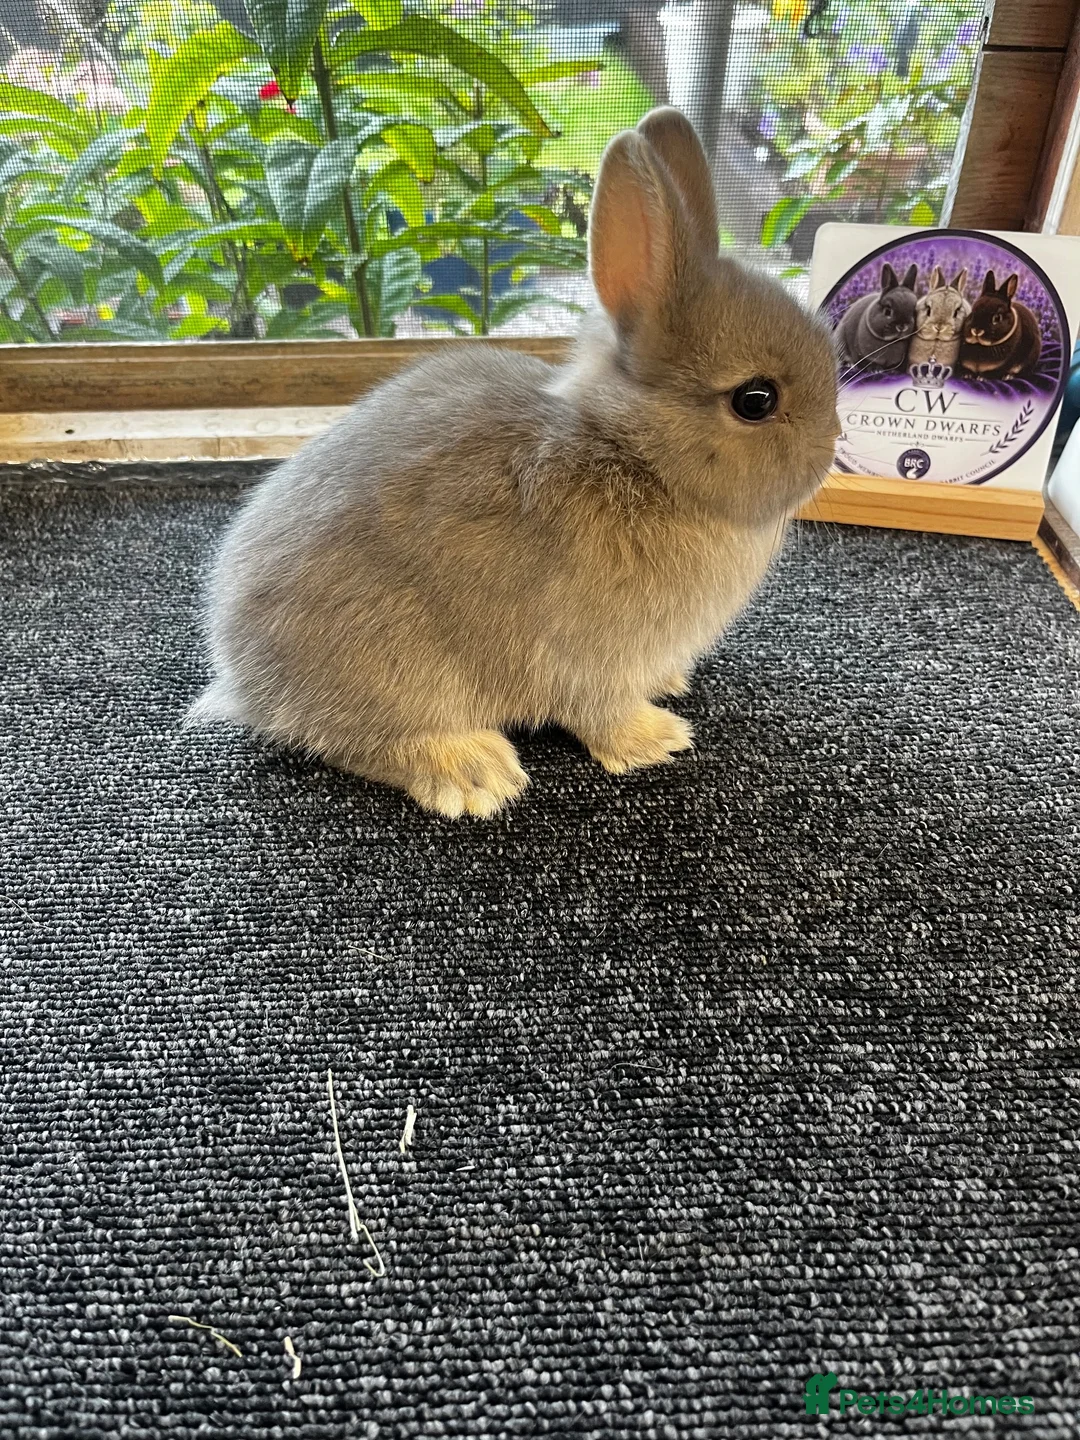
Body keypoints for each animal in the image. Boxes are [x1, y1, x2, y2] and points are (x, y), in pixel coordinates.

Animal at [189, 108, 840, 819]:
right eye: (756, 400)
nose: (832, 448)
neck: (632, 455)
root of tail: (242, 673)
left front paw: (670, 685)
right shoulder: (591, 661)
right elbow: (601, 713)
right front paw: (658, 739)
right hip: (400, 676)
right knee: (364, 741)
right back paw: (476, 772)